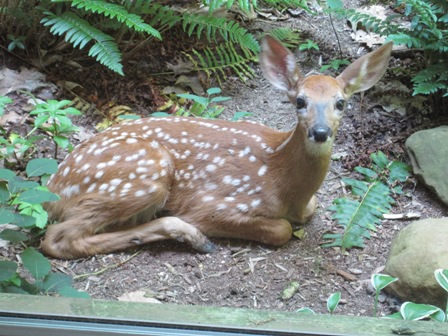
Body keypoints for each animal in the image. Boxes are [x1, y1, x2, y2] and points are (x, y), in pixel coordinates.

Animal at [41, 35, 392, 258]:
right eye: (300, 101)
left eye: (341, 103)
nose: (320, 132)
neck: (282, 179)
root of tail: (53, 187)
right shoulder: (215, 202)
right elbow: (281, 229)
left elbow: (309, 210)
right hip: (142, 175)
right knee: (56, 240)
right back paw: (192, 235)